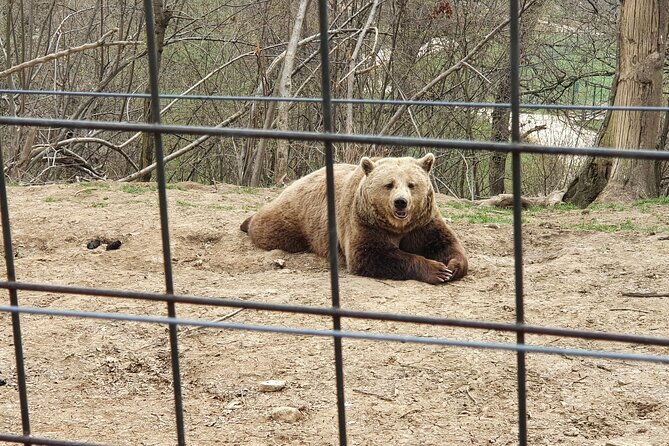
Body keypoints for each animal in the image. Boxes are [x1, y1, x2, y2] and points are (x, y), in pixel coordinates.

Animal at [240, 153, 468, 284]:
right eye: (389, 184)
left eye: (412, 184)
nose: (401, 202)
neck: (398, 226)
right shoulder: (364, 223)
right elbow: (371, 255)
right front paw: (437, 270)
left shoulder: (422, 223)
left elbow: (445, 243)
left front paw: (453, 266)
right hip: (296, 217)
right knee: (271, 229)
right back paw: (247, 222)